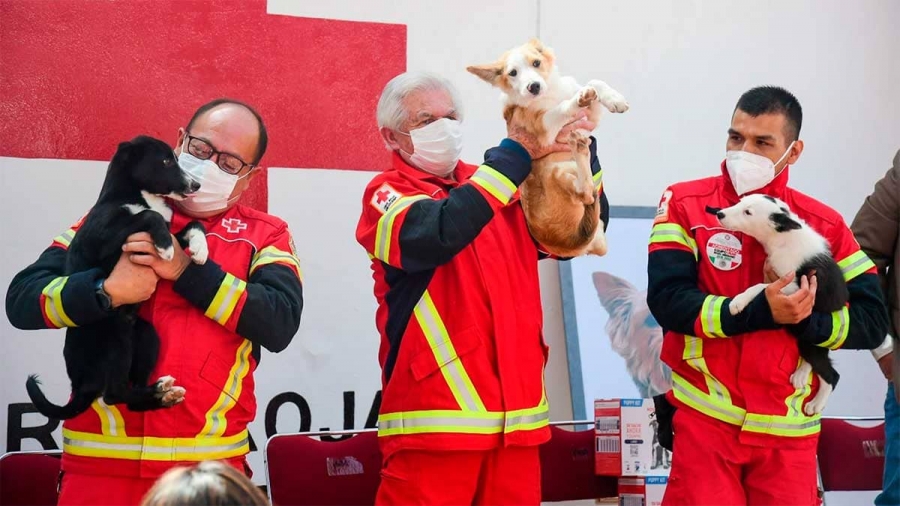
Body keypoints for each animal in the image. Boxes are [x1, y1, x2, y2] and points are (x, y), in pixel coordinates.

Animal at [25, 136, 209, 422]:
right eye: (166, 160)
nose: (196, 185)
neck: (137, 195)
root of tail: (80, 386)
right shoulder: (103, 240)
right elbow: (148, 216)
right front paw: (165, 245)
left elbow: (193, 226)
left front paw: (201, 250)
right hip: (116, 340)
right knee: (114, 395)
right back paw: (157, 391)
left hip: (146, 335)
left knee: (130, 394)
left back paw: (162, 393)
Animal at [468, 38, 628, 256]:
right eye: (513, 73)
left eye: (536, 63)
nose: (533, 86)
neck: (551, 94)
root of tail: (571, 244)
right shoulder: (544, 127)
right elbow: (562, 108)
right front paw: (578, 100)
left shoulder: (590, 118)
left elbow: (594, 82)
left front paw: (614, 99)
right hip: (558, 173)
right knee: (585, 193)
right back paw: (580, 150)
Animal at [712, 194, 848, 416]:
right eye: (740, 202)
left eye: (748, 212)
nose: (720, 213)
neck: (783, 237)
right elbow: (763, 284)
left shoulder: (793, 287)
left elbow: (760, 286)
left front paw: (739, 301)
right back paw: (801, 373)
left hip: (812, 338)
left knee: (832, 375)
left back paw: (816, 402)